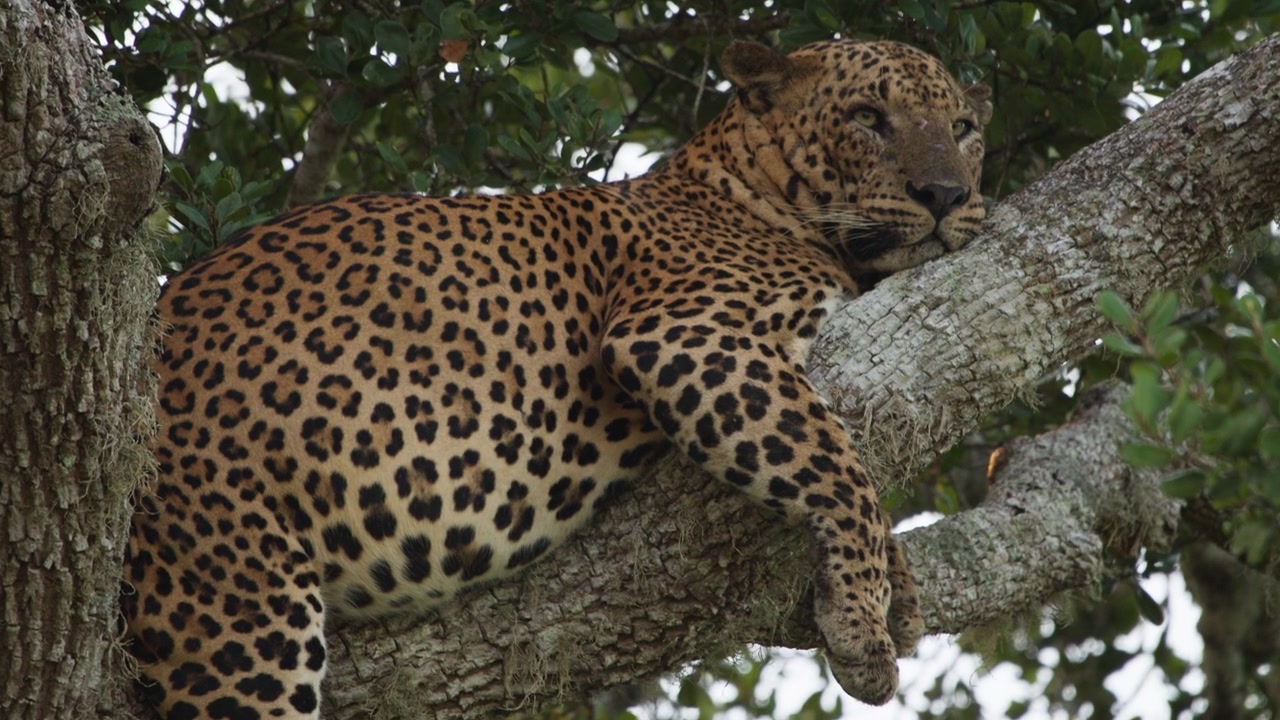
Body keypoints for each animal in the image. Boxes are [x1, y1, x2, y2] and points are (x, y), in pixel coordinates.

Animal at [123, 38, 992, 719]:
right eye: (869, 118)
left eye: (965, 130)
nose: (947, 195)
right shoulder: (686, 334)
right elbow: (839, 464)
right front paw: (862, 627)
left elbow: (848, 457)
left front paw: (896, 593)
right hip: (238, 598)